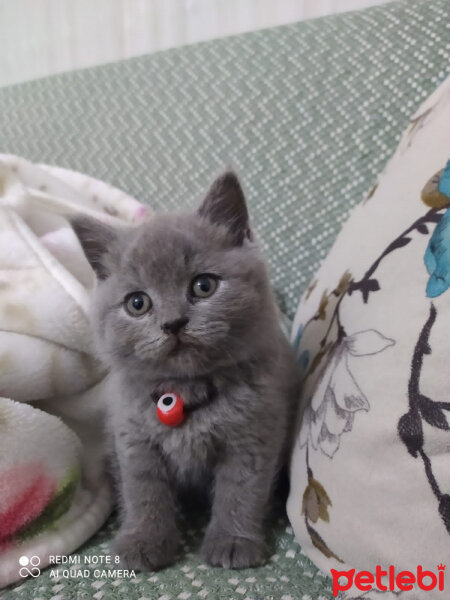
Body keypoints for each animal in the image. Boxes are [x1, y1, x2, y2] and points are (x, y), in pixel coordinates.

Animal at [72, 172, 300, 572]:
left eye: (203, 285)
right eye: (137, 303)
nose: (173, 323)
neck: (183, 389)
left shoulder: (253, 437)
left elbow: (240, 491)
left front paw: (232, 542)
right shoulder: (133, 438)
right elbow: (143, 491)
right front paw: (144, 542)